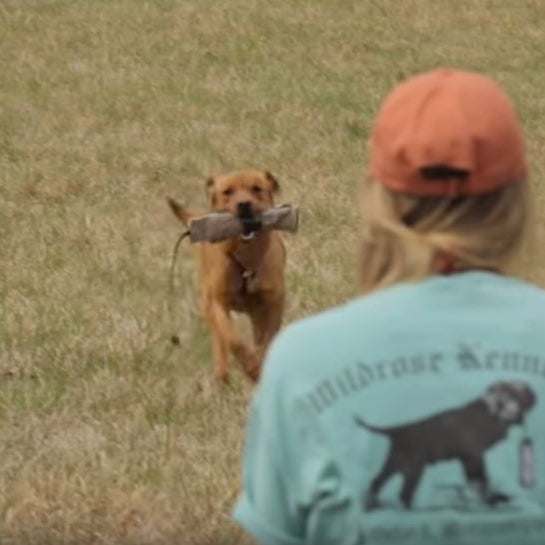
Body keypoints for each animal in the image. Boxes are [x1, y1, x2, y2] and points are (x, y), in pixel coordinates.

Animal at [168, 170, 286, 382]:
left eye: (256, 188)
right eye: (227, 192)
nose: (244, 204)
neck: (245, 260)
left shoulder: (273, 303)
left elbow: (266, 340)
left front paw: (259, 364)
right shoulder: (218, 304)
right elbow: (232, 338)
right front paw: (251, 366)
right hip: (207, 303)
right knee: (219, 341)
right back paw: (222, 374)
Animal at [352, 378, 536, 510]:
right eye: (514, 390)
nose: (532, 393)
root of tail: (398, 429)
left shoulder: (468, 457)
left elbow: (478, 480)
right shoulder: (473, 455)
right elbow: (480, 480)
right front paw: (494, 499)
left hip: (397, 463)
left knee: (379, 483)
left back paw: (373, 505)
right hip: (412, 467)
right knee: (402, 492)